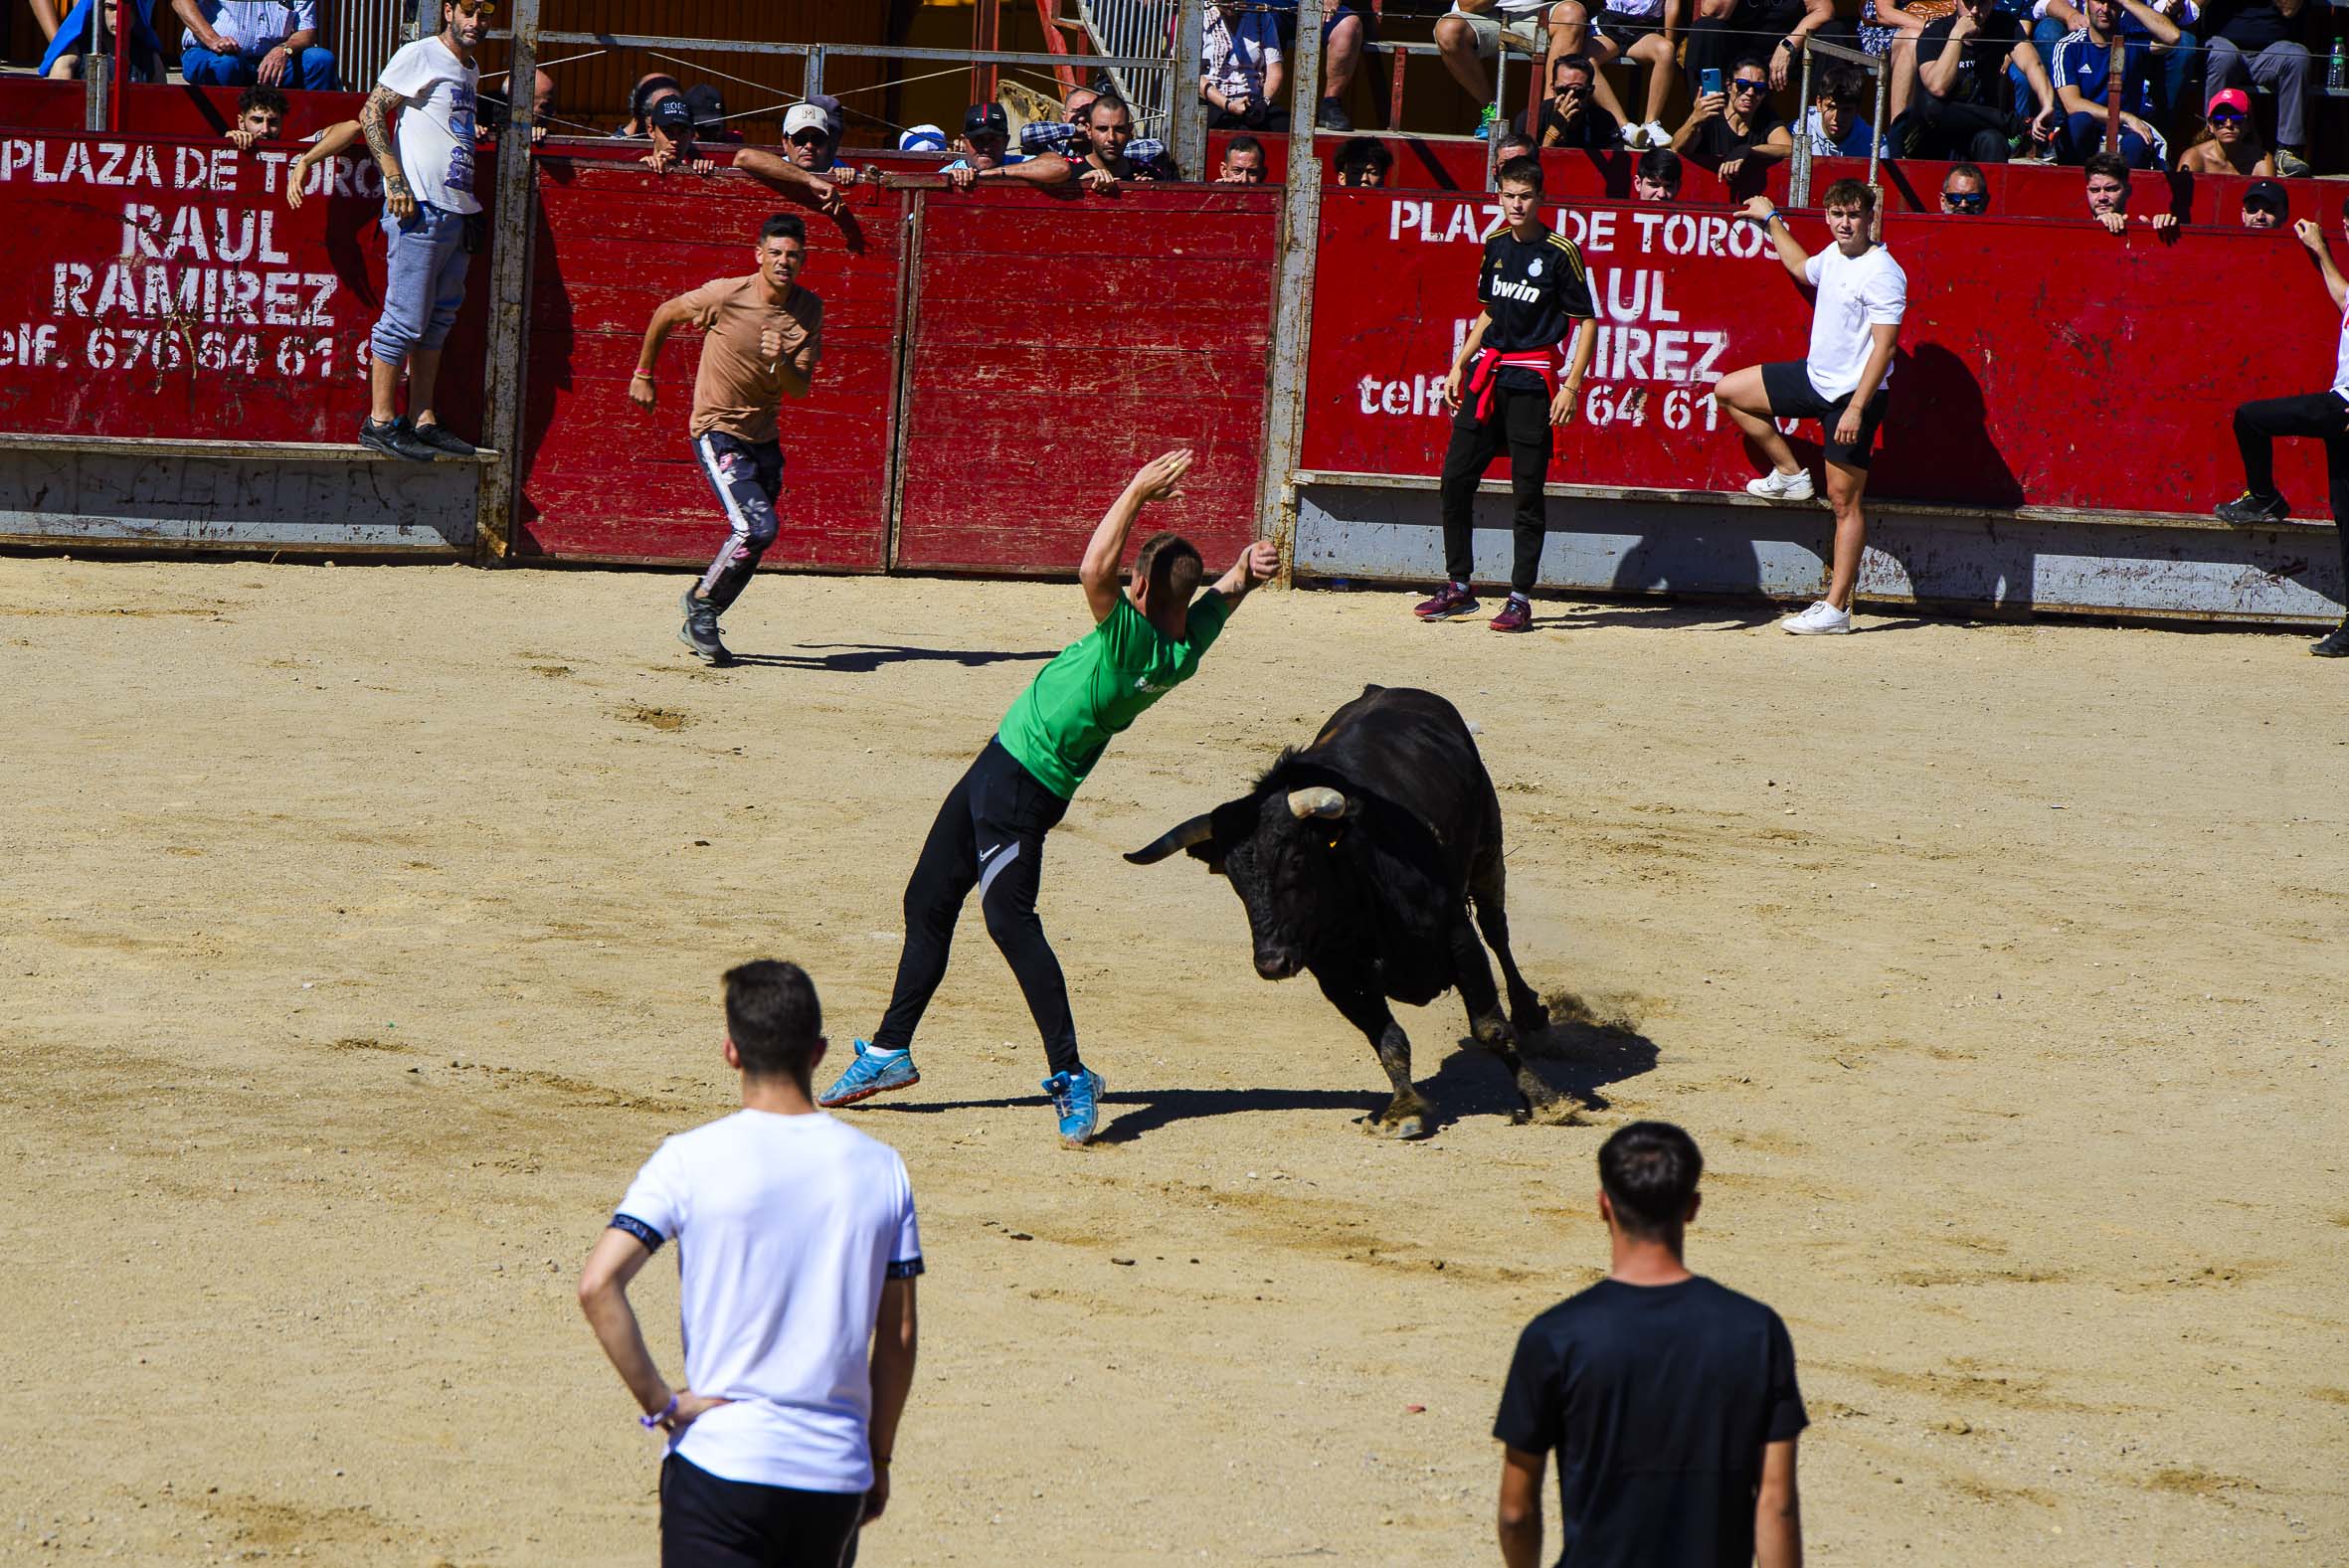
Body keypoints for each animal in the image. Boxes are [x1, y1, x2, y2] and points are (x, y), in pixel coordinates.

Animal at [1123, 680, 1578, 1131]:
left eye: (1296, 860)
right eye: (1233, 877)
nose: (1272, 963)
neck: (1360, 896)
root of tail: (1387, 688)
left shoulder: (1457, 938)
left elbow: (1490, 1028)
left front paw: (1545, 1100)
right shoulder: (1337, 975)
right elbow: (1388, 1039)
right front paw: (1404, 1109)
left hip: (1488, 847)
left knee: (1496, 928)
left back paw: (1531, 1015)